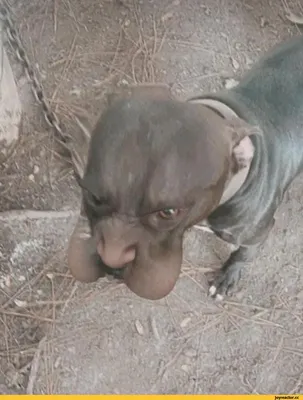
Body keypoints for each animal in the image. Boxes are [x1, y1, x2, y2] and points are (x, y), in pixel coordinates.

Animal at [67, 35, 303, 300]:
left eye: (169, 212)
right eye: (93, 196)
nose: (111, 262)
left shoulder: (256, 234)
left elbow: (243, 253)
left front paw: (227, 276)